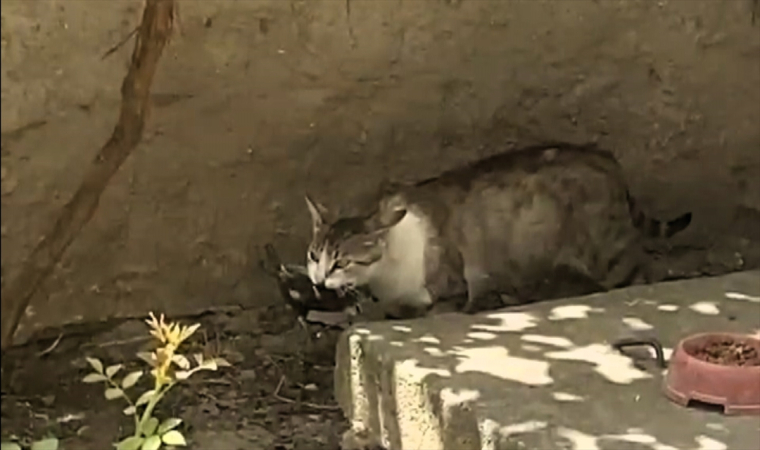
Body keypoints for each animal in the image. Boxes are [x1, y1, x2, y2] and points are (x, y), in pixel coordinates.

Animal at [302, 143, 688, 316]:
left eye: (341, 262)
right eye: (313, 256)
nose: (318, 281)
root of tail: (604, 157)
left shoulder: (452, 288)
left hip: (609, 256)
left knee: (644, 274)